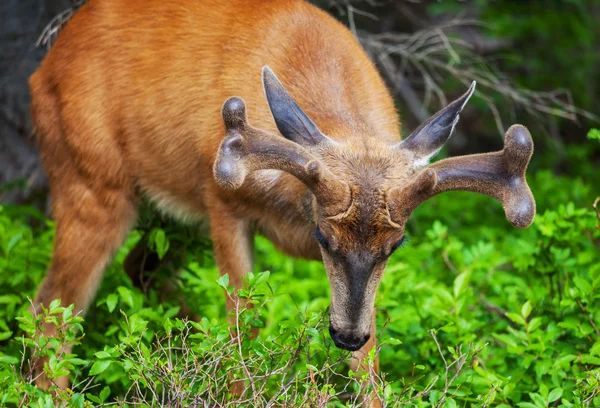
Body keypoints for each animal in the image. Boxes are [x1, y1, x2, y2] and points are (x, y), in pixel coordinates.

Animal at [27, 0, 536, 398]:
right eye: (324, 238)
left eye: (396, 246)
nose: (345, 336)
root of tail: (45, 64)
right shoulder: (223, 201)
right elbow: (244, 327)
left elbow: (369, 363)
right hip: (91, 180)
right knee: (50, 309)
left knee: (135, 270)